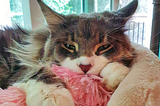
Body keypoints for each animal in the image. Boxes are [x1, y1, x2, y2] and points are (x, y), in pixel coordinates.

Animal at [0, 0, 138, 105]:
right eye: (69, 46)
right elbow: (38, 72)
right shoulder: (22, 68)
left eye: (104, 47)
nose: (85, 67)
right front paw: (53, 96)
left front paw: (114, 75)